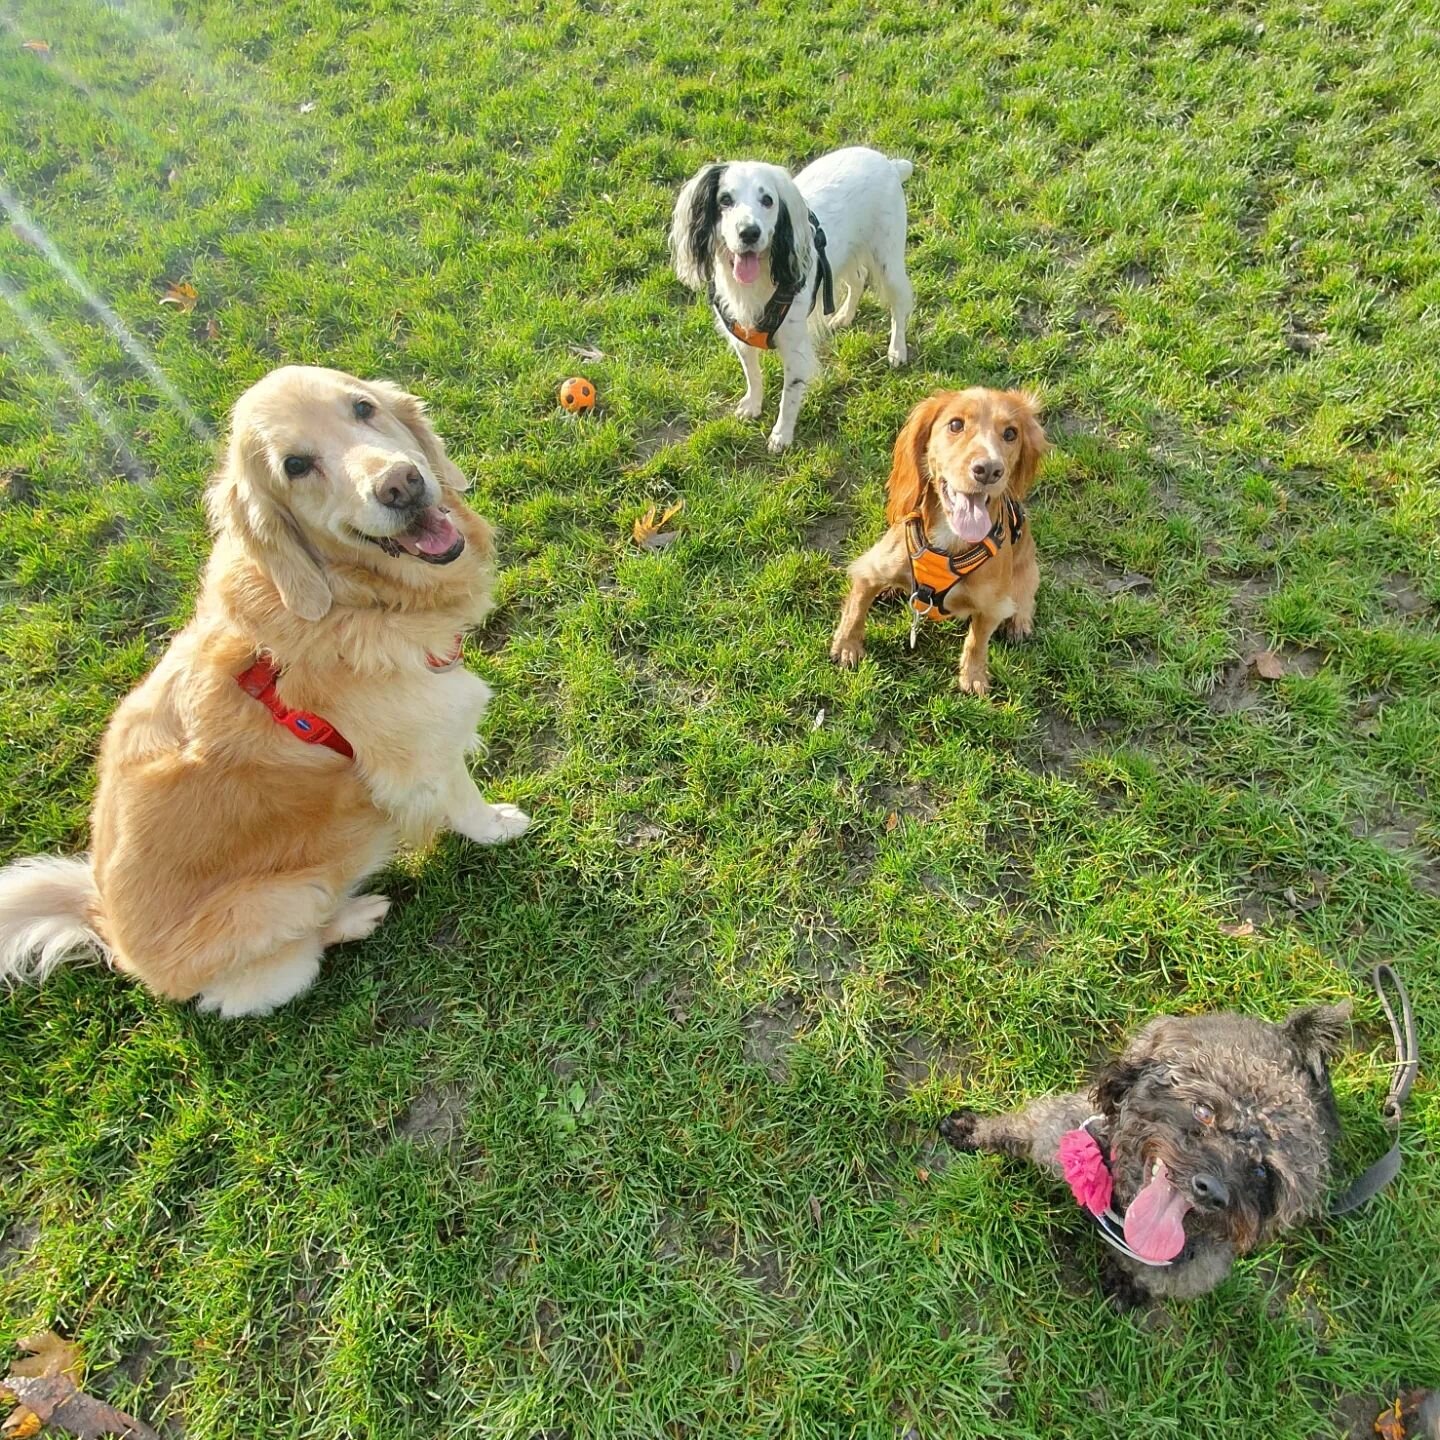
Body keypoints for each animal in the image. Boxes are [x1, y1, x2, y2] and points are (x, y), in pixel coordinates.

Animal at [944, 1002, 1347, 1307]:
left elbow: (1149, 1278)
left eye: (1263, 1171)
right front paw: (971, 1131)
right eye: (1204, 1110)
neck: (1124, 1209)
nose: (1212, 1190)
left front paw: (1127, 1286)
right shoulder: (1059, 1130)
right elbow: (1017, 1129)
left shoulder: (1192, 1269)